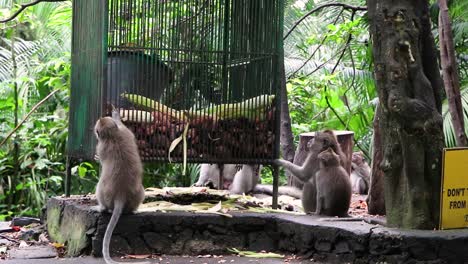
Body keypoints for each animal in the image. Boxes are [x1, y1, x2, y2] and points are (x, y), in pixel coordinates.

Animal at [93, 109, 148, 264]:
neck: (113, 135)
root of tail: (121, 195)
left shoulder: (101, 146)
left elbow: (100, 156)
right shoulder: (126, 132)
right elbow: (123, 126)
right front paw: (116, 115)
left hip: (104, 194)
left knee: (99, 190)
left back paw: (101, 208)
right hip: (137, 195)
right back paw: (132, 211)